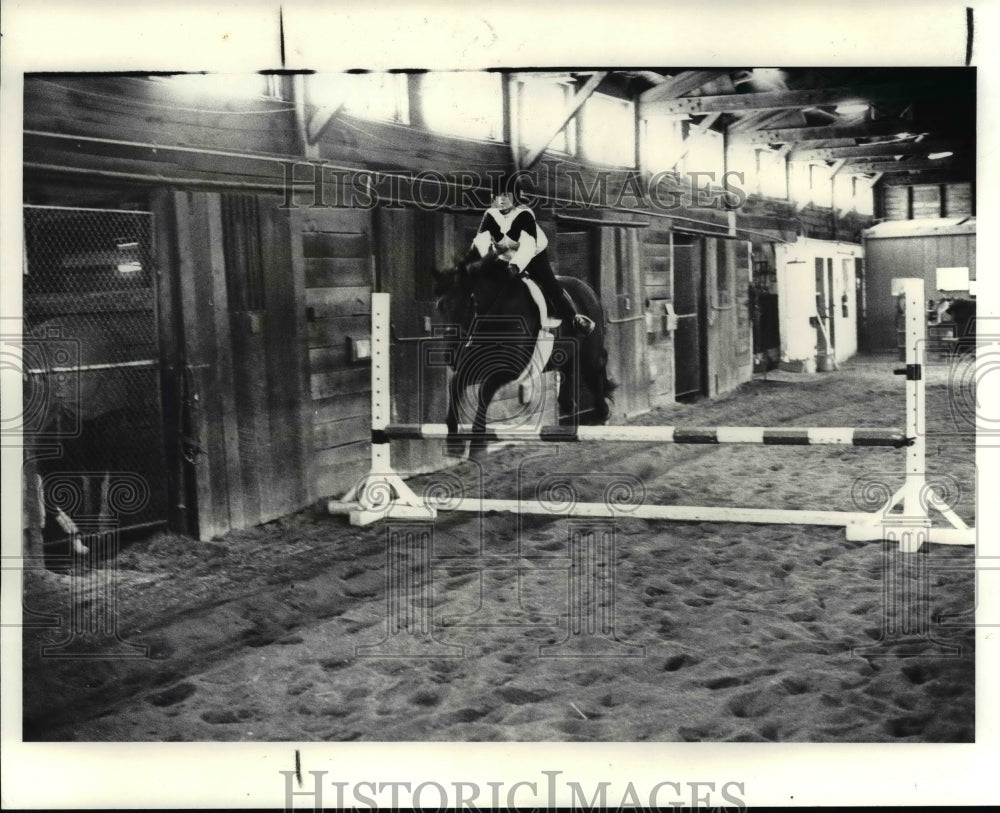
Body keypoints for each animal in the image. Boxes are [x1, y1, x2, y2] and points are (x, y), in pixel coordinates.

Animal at [432, 251, 612, 460]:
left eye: (469, 302)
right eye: (440, 306)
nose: (451, 354)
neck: (496, 313)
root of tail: (589, 289)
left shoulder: (510, 369)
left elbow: (485, 390)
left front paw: (477, 444)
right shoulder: (476, 364)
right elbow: (455, 385)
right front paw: (454, 442)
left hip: (590, 352)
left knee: (596, 370)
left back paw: (602, 413)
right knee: (570, 367)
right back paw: (568, 406)